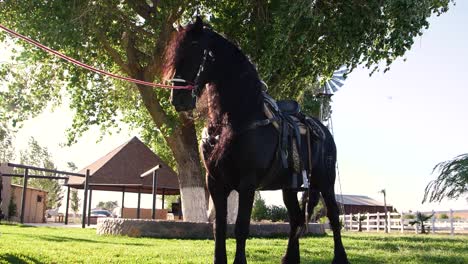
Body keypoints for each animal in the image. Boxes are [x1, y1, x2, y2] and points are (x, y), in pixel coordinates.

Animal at [165, 17, 348, 262]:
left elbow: (241, 227)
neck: (233, 121)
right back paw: (289, 258)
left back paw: (340, 257)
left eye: (195, 52)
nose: (178, 99)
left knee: (334, 217)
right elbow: (219, 228)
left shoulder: (247, 184)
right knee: (296, 219)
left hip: (326, 182)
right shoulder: (215, 183)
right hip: (289, 188)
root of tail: (323, 131)